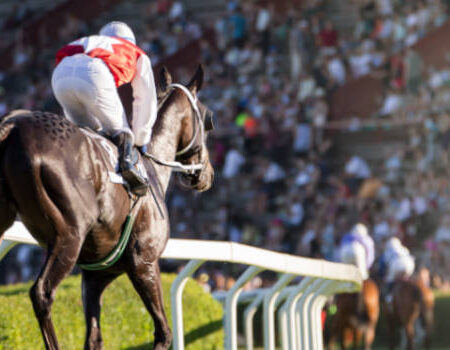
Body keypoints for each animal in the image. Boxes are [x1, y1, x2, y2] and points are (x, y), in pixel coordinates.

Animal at [0, 66, 214, 350]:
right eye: (208, 119)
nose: (207, 174)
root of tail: (12, 127)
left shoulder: (95, 276)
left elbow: (94, 338)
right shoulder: (144, 263)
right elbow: (164, 332)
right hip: (69, 236)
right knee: (42, 293)